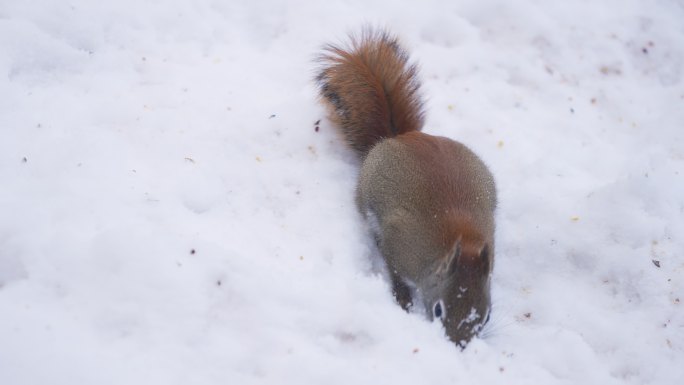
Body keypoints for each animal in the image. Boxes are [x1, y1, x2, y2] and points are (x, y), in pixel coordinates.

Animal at [316, 27, 496, 344]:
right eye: (438, 310)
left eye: (486, 316)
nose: (459, 346)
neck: (461, 239)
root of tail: (401, 137)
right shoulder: (400, 243)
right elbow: (395, 271)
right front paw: (403, 298)